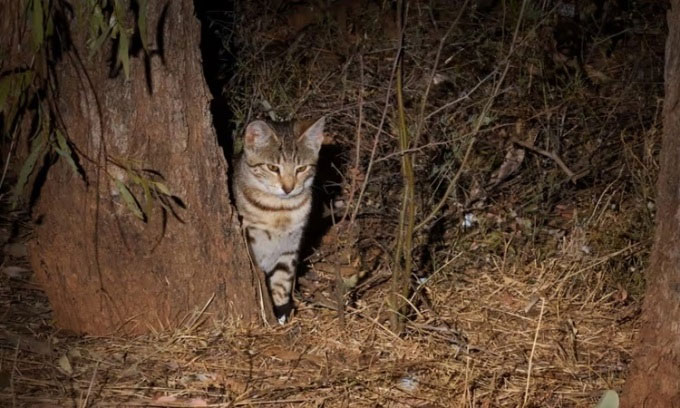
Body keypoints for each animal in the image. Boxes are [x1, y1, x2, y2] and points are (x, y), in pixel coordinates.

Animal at [232, 116, 326, 324]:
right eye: (272, 167)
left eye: (302, 168)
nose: (288, 188)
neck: (279, 210)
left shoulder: (289, 248)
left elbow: (282, 282)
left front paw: (281, 313)